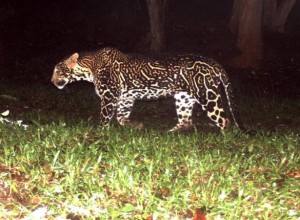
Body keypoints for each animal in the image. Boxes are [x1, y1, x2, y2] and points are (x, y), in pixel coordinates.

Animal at [50, 47, 245, 131]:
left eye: (58, 70)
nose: (52, 81)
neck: (90, 68)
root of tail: (215, 63)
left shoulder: (109, 97)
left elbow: (105, 118)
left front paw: (98, 132)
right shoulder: (126, 98)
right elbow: (121, 117)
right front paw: (135, 125)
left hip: (207, 95)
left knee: (224, 119)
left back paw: (222, 137)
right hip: (183, 98)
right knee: (186, 120)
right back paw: (170, 133)